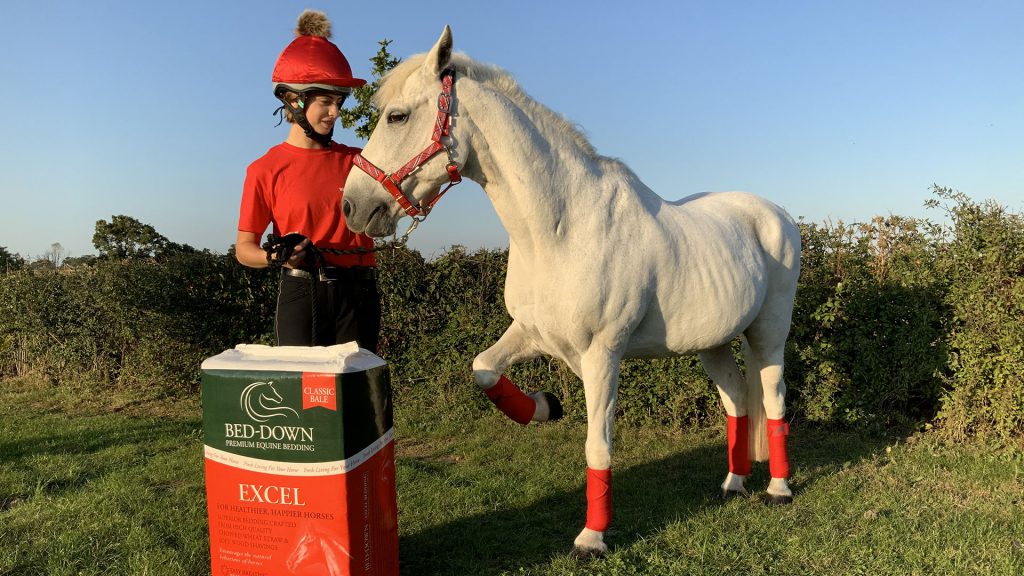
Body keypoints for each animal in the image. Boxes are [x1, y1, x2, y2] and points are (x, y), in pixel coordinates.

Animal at [341, 26, 801, 556]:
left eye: (398, 116)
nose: (353, 207)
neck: (562, 230)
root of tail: (778, 214)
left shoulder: (603, 355)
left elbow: (598, 445)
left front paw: (591, 539)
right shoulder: (531, 332)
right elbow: (483, 370)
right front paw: (544, 407)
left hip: (768, 334)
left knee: (773, 401)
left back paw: (778, 489)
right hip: (713, 344)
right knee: (737, 401)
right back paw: (733, 484)